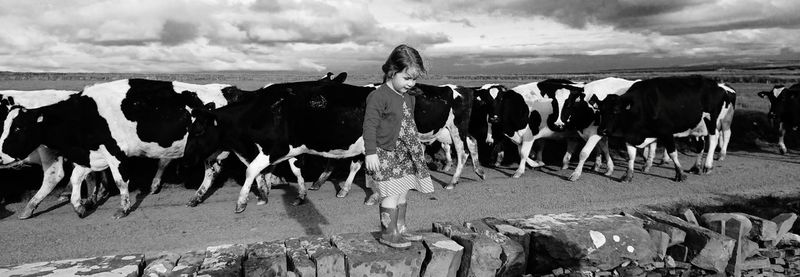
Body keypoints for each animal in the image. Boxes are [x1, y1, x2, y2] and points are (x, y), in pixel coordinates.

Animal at [592, 74, 732, 181]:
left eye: (615, 111)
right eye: (600, 111)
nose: (601, 130)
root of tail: (717, 85)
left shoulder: (666, 132)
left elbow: (672, 153)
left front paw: (680, 173)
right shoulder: (630, 135)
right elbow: (631, 155)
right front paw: (628, 175)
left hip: (711, 120)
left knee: (713, 139)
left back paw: (708, 166)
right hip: (697, 126)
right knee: (700, 145)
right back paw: (696, 167)